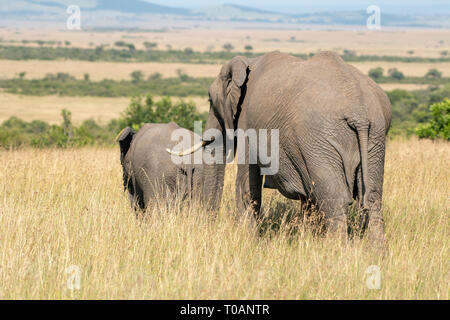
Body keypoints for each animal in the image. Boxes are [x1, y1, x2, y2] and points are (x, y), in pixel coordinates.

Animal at [169, 51, 390, 246]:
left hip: (320, 139)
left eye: (210, 101)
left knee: (336, 200)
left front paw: (248, 241)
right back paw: (376, 254)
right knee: (371, 200)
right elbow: (308, 197)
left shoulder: (248, 120)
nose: (209, 225)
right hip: (374, 138)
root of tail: (358, 111)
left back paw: (336, 252)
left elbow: (246, 184)